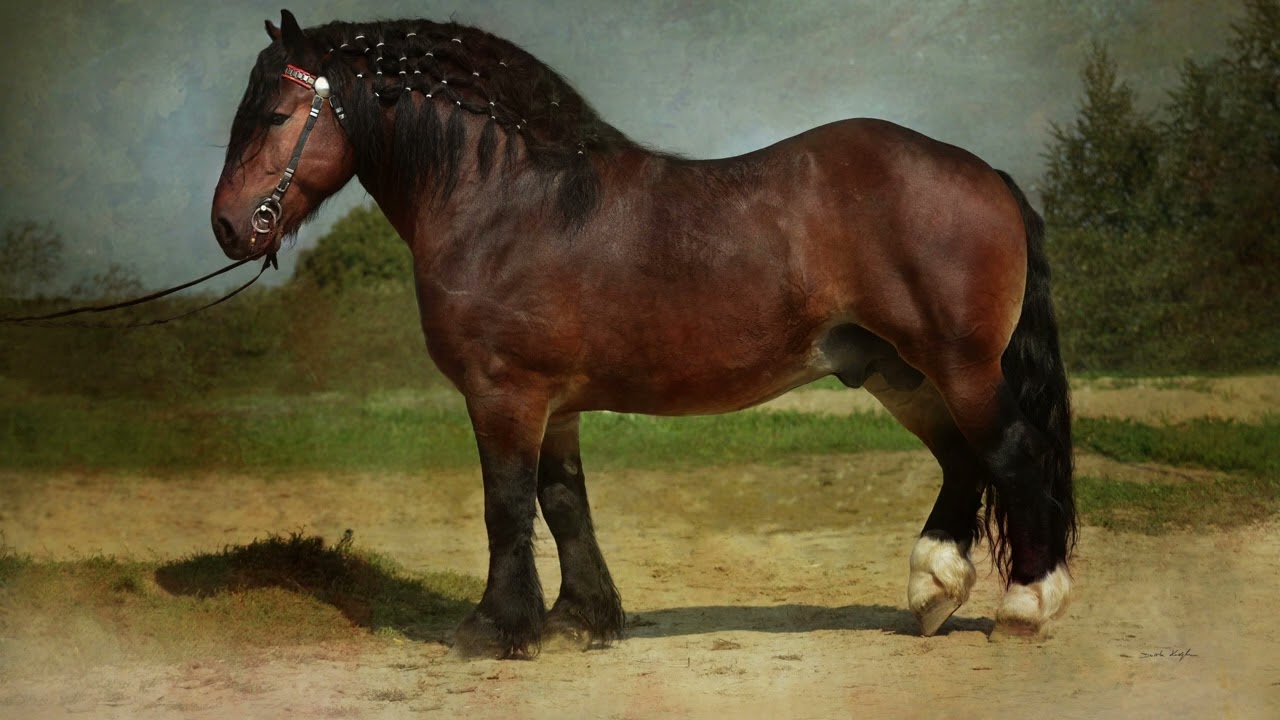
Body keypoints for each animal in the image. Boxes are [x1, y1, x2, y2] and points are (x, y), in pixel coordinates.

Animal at [212, 10, 1077, 659]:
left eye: (276, 114)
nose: (228, 225)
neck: (508, 201)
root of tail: (986, 174)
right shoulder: (554, 404)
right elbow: (563, 503)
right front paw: (578, 619)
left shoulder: (504, 392)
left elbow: (506, 503)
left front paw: (496, 628)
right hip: (900, 372)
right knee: (963, 461)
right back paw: (933, 591)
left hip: (960, 366)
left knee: (1012, 453)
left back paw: (1027, 606)